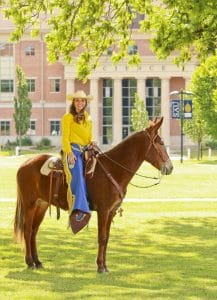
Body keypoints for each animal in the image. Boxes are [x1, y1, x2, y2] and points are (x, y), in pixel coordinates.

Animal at [14, 116, 173, 272]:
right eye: (161, 143)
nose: (170, 167)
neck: (112, 169)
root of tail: (24, 164)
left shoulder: (111, 211)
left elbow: (106, 238)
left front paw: (105, 266)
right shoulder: (103, 210)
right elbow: (101, 237)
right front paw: (100, 266)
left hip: (42, 205)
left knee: (34, 231)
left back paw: (37, 261)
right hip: (30, 204)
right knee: (27, 230)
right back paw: (29, 262)